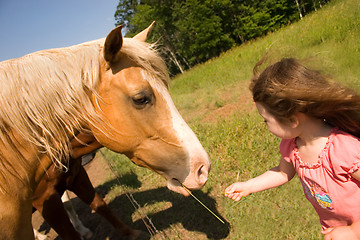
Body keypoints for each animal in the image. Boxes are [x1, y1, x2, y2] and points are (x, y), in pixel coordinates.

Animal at [0, 21, 210, 239]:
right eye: (140, 99)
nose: (202, 168)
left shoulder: (77, 178)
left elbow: (98, 204)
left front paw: (131, 233)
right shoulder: (46, 201)